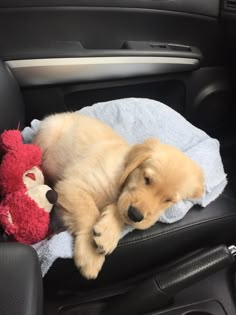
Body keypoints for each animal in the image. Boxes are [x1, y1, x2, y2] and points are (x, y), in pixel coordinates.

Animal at [33, 112, 205, 280]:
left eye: (169, 200)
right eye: (146, 179)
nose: (135, 215)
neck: (122, 176)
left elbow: (119, 210)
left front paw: (107, 232)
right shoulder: (72, 185)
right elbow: (89, 212)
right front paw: (90, 254)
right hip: (47, 133)